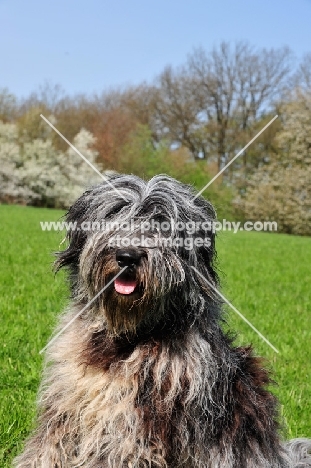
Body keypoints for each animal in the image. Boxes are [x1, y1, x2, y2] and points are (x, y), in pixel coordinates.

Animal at [15, 174, 311, 466]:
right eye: (115, 212)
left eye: (161, 222)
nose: (127, 256)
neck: (128, 337)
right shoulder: (67, 405)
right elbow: (47, 447)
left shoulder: (130, 425)